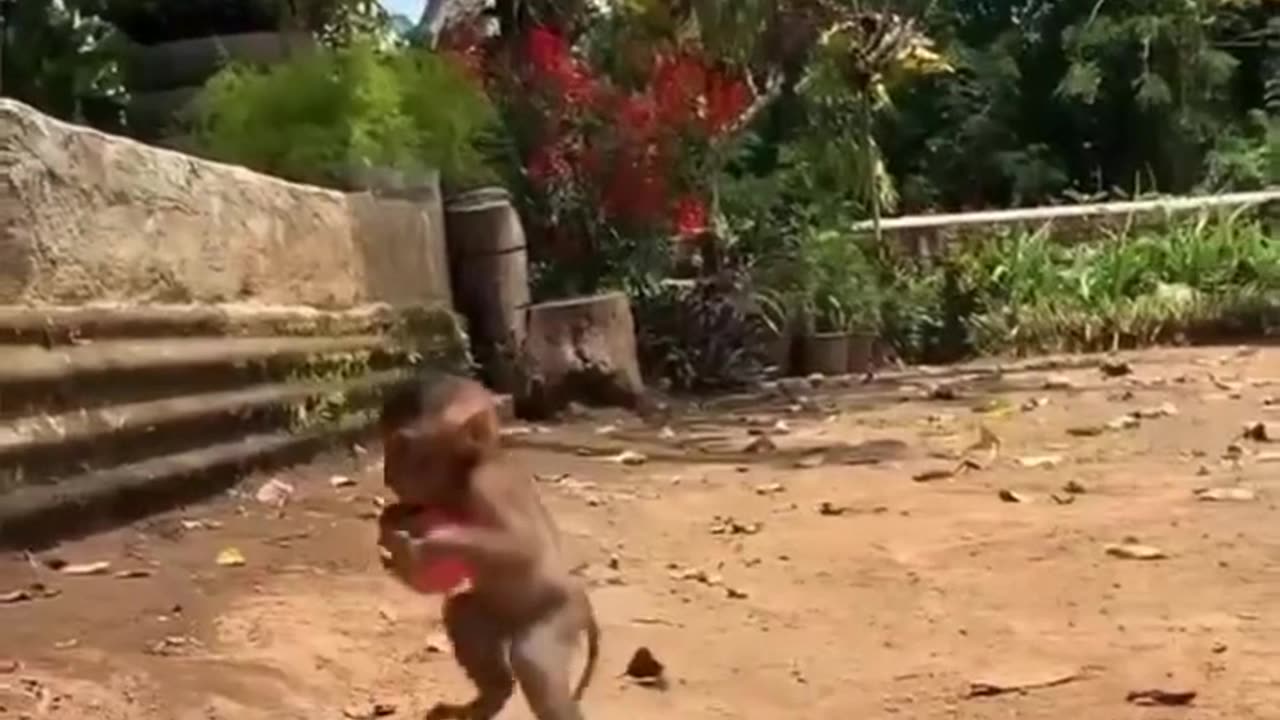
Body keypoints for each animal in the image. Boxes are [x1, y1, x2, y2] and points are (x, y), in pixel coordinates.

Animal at [376, 376, 601, 717]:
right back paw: (493, 696)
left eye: (400, 446)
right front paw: (391, 533)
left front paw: (422, 547)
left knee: (531, 657)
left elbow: (523, 545)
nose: (387, 473)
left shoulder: (487, 483)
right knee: (463, 613)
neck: (465, 475)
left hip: (561, 614)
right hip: (498, 612)